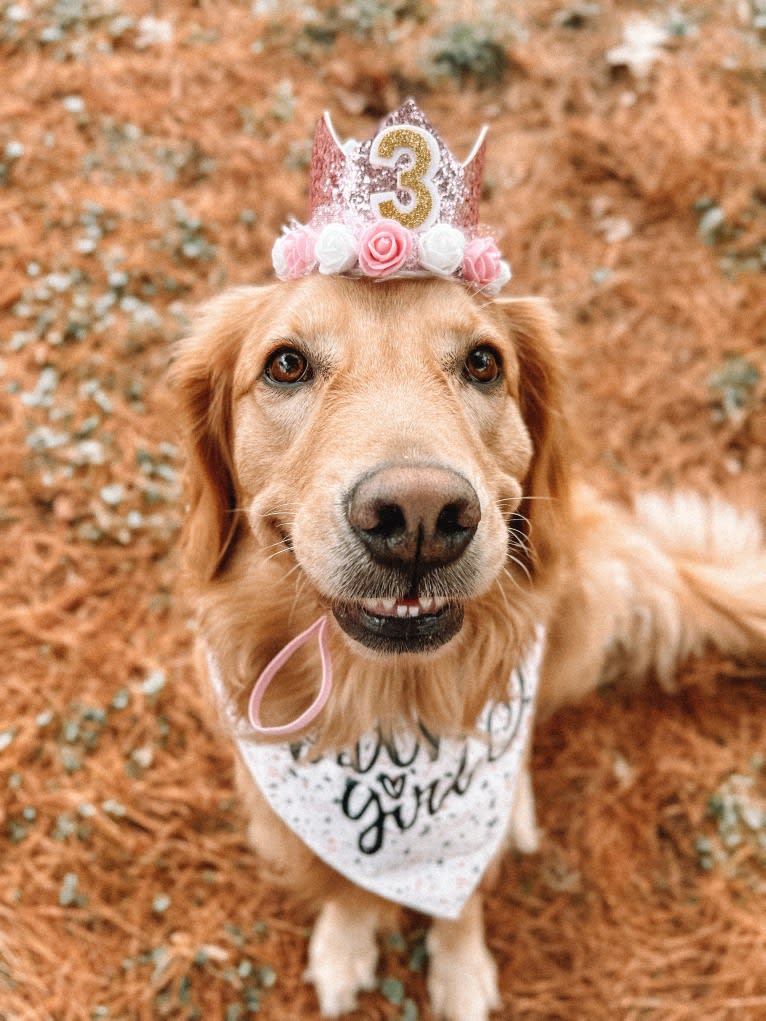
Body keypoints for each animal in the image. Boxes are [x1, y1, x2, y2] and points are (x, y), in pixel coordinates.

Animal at [170, 273, 766, 1021]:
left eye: (483, 363)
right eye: (286, 364)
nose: (419, 516)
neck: (391, 707)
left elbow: (464, 895)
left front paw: (460, 967)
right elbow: (343, 886)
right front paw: (345, 942)